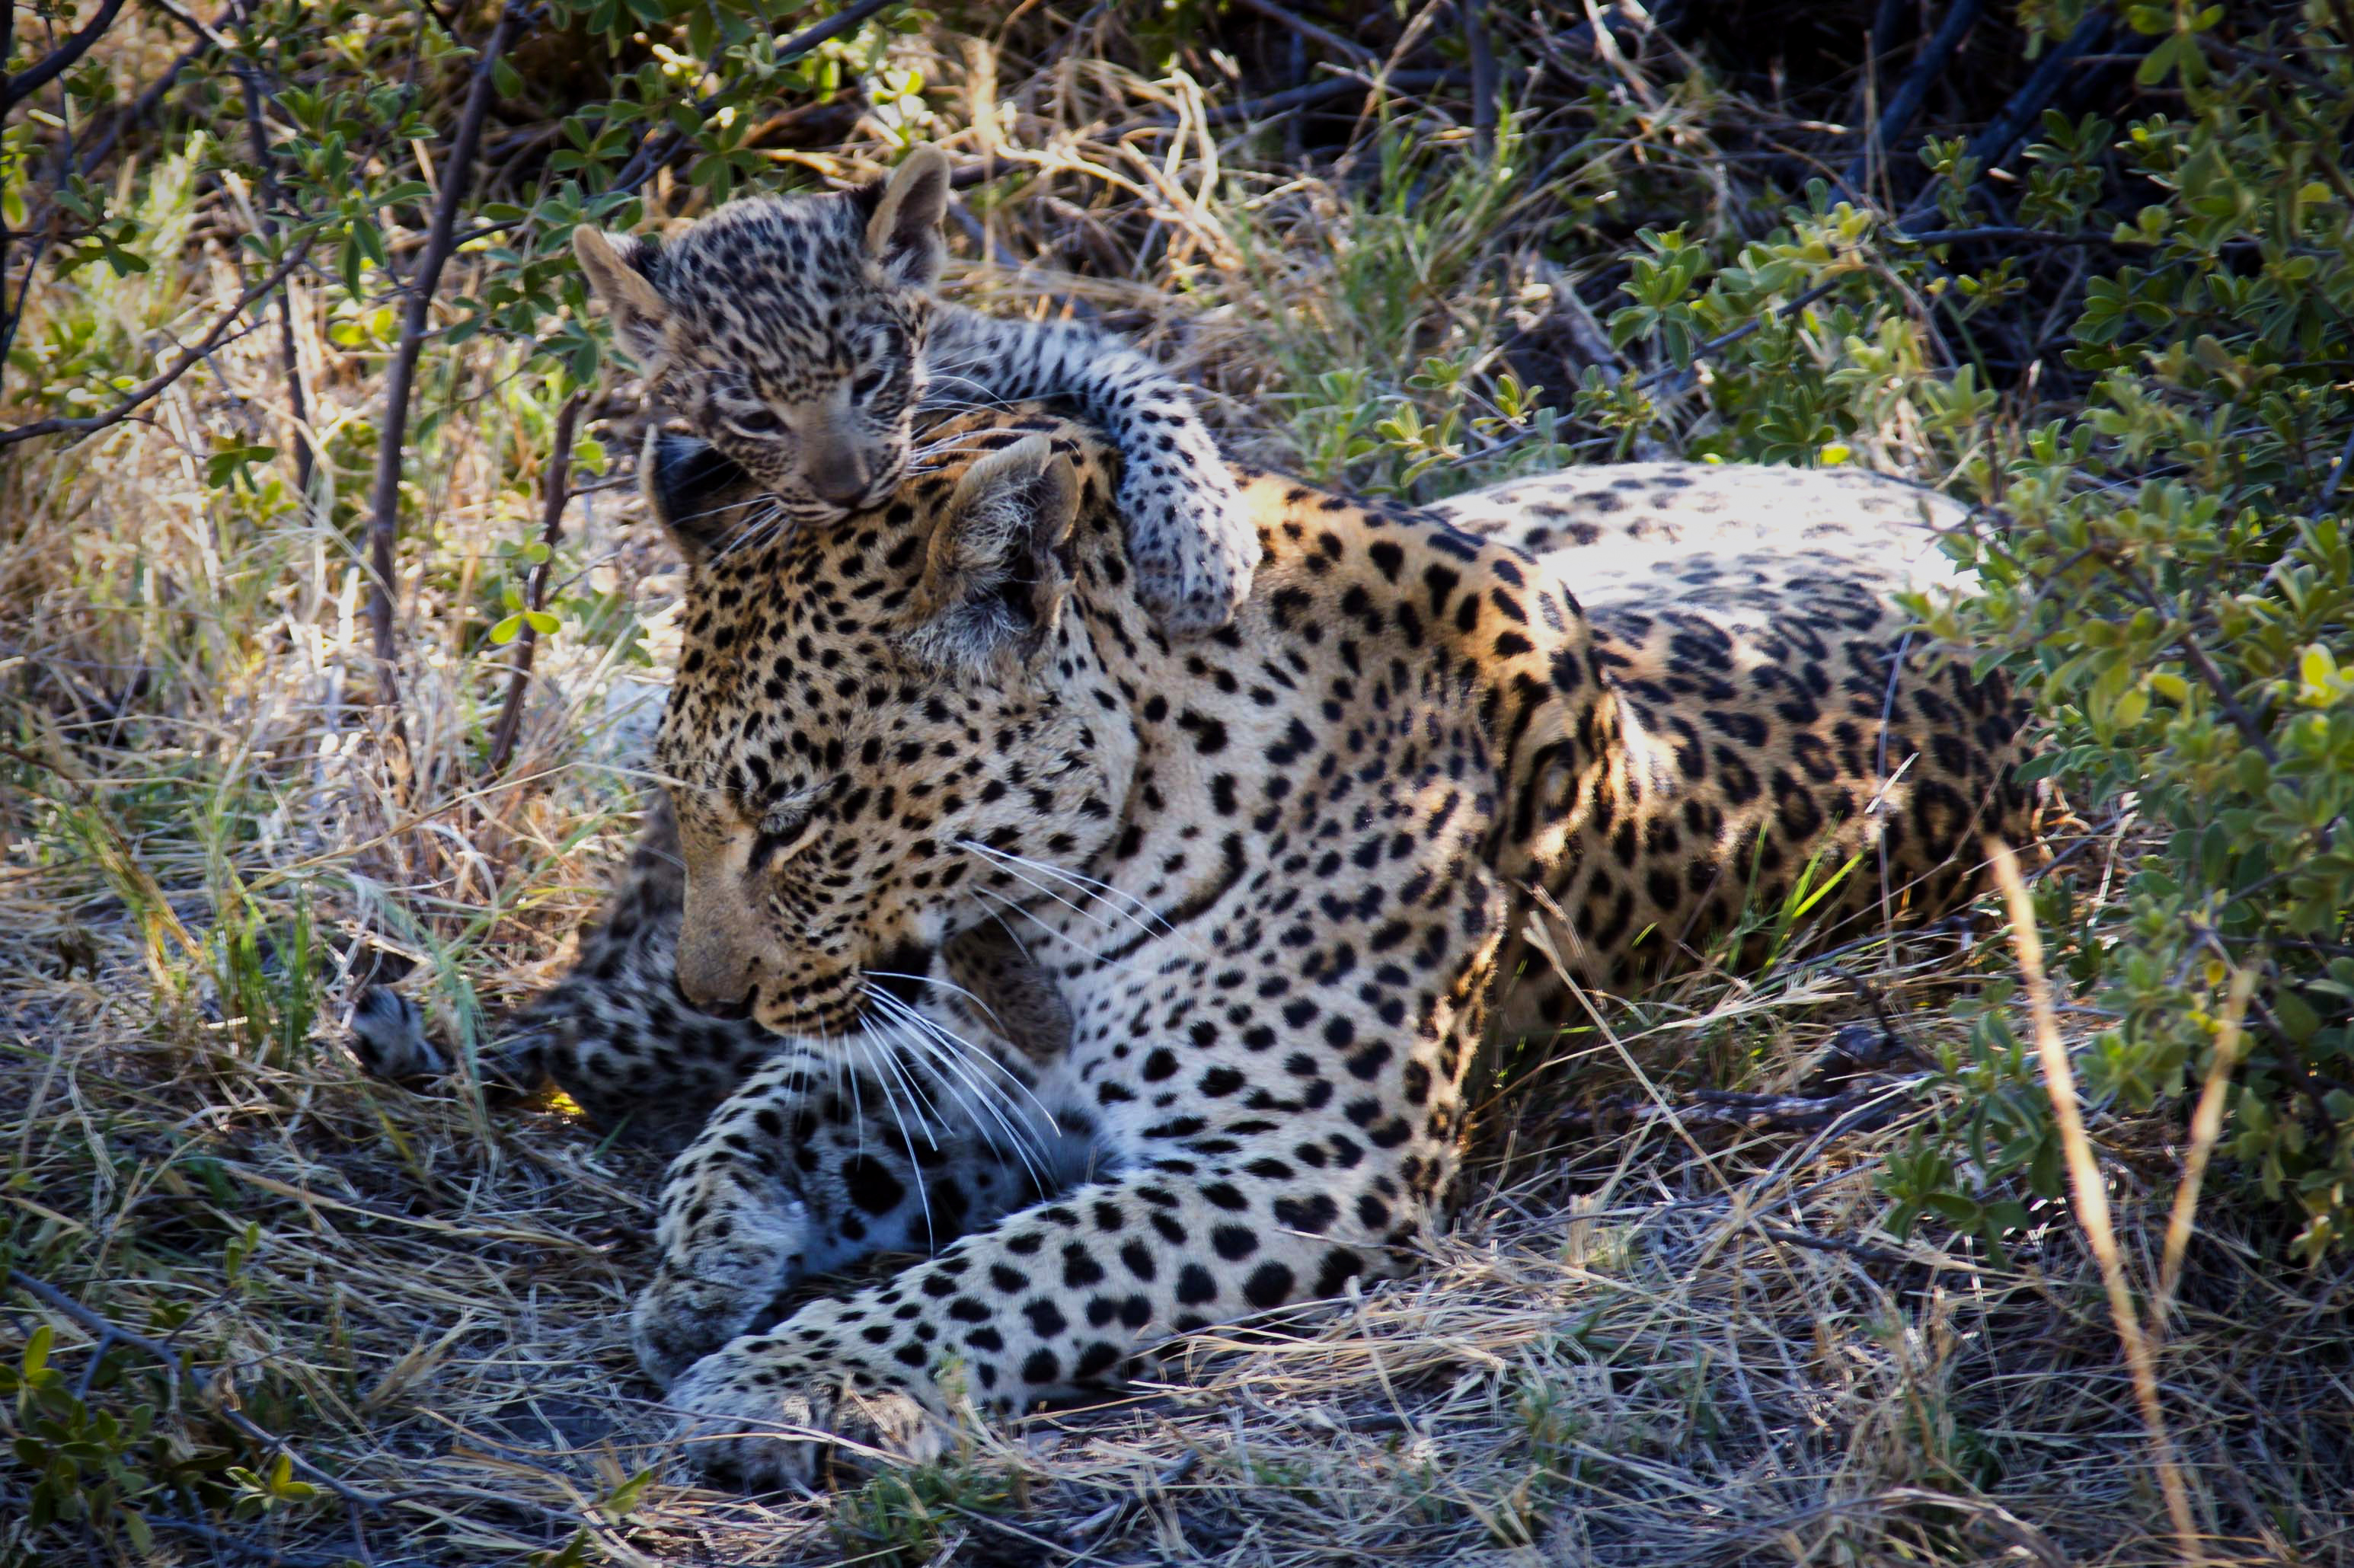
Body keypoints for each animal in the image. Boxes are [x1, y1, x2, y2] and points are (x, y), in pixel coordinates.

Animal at [352, 409, 2028, 1488]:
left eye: (794, 815)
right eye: (697, 804)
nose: (727, 980)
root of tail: (1932, 493)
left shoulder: (1299, 1156)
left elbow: (1018, 1268)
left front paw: (788, 1377)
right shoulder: (961, 1076)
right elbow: (750, 1120)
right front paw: (707, 1270)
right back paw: (433, 1030)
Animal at [571, 145, 1259, 635]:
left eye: (870, 381)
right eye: (757, 420)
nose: (847, 493)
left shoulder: (1027, 346)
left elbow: (1150, 393)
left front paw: (1197, 540)